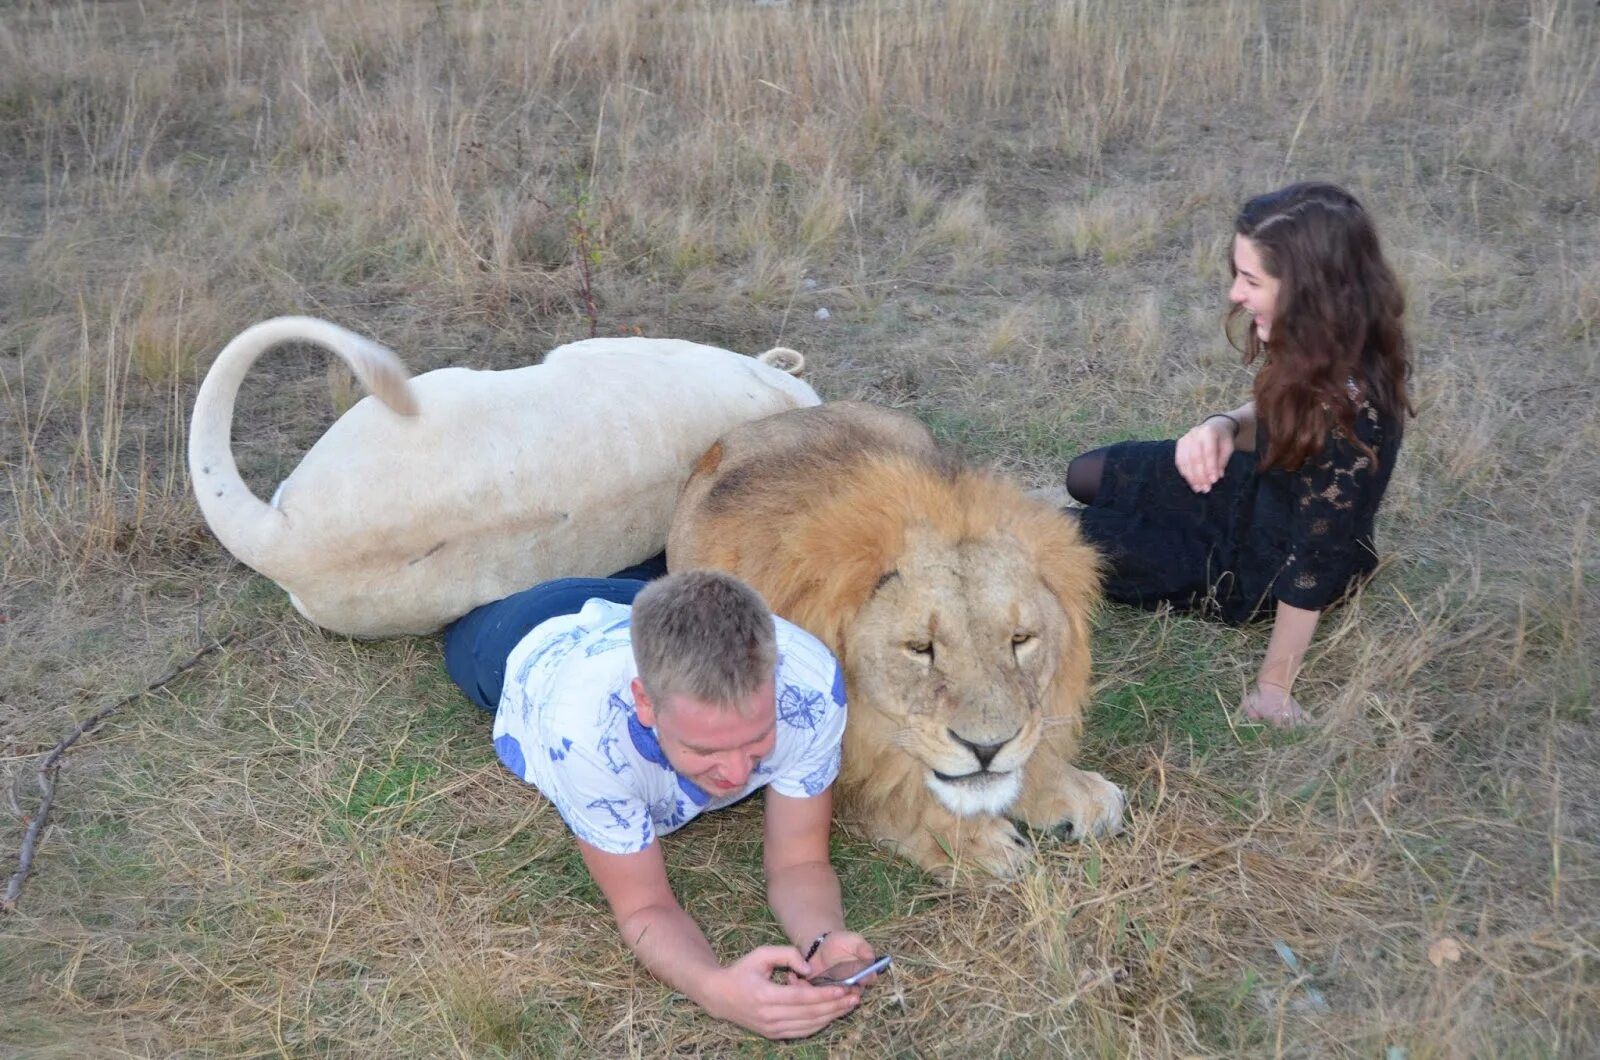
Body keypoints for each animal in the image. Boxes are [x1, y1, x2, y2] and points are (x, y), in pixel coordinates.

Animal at [662, 403, 1126, 877]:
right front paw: (972, 841)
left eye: (1020, 639)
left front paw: (1069, 788)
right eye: (920, 648)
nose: (987, 748)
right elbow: (888, 795)